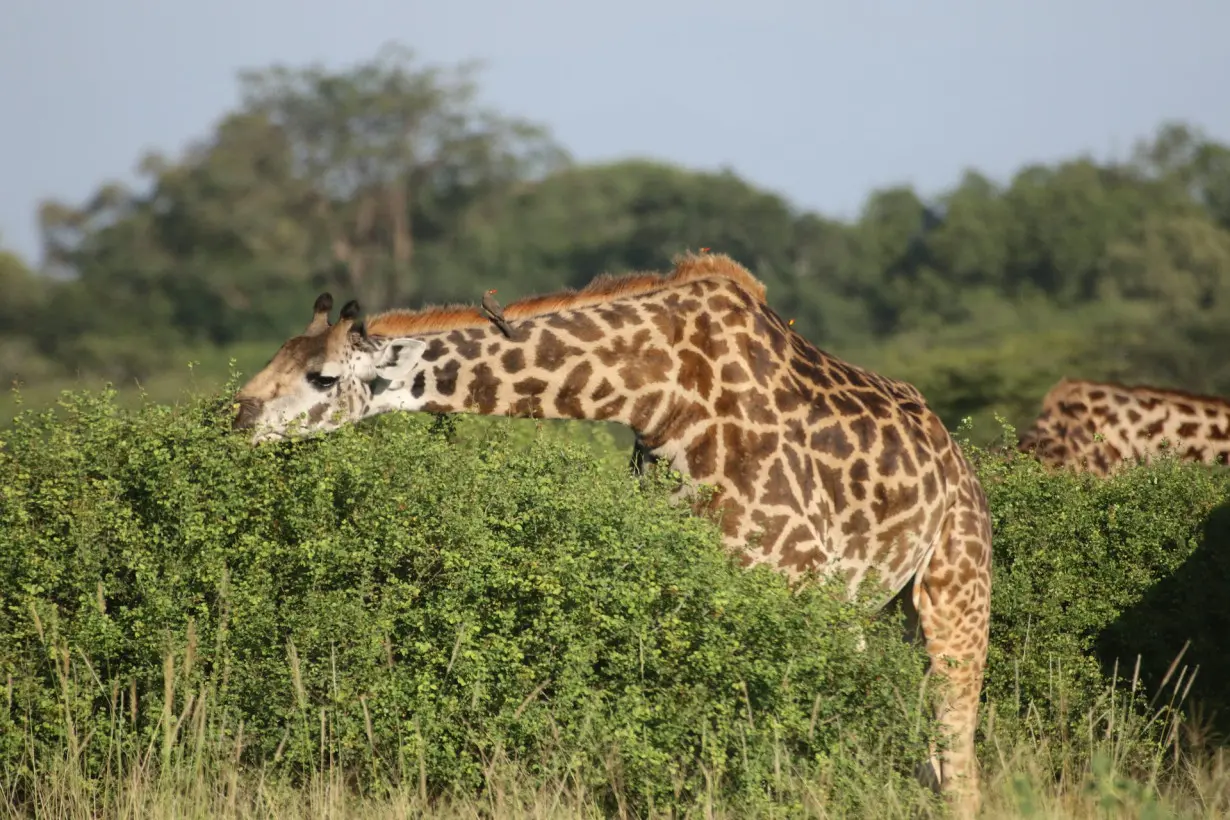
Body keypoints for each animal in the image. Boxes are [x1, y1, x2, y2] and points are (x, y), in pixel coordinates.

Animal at [231, 254, 993, 816]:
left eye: (322, 376)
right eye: (275, 357)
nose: (236, 418)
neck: (659, 394)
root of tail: (957, 459)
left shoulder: (796, 581)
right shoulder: (683, 584)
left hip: (952, 591)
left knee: (956, 756)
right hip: (871, 610)